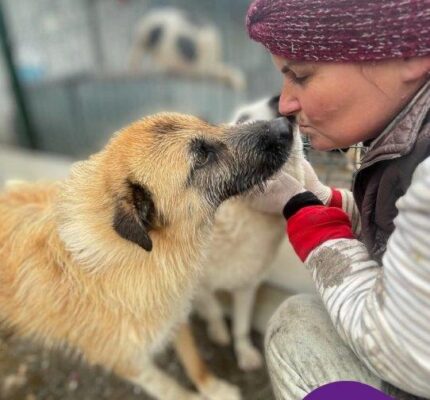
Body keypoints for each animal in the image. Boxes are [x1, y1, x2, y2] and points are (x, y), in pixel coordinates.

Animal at [0, 112, 293, 400]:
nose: (285, 124)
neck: (137, 255)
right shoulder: (128, 363)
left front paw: (214, 389)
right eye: (202, 157)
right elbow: (168, 388)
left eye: (210, 124)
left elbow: (194, 362)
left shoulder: (175, 318)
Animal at [193, 96, 306, 371]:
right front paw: (218, 331)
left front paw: (244, 353)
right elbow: (213, 309)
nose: (278, 100)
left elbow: (242, 327)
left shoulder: (247, 286)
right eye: (242, 119)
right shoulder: (199, 285)